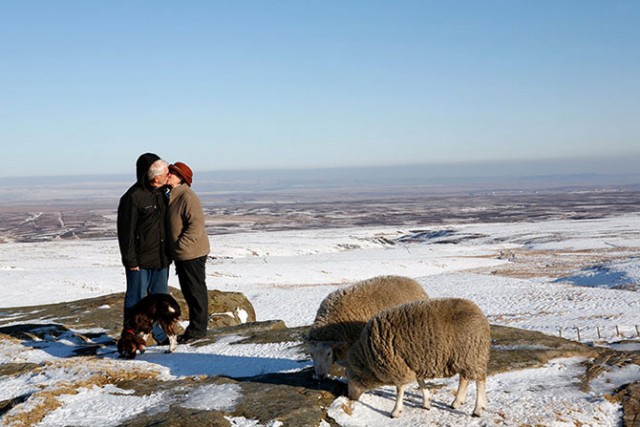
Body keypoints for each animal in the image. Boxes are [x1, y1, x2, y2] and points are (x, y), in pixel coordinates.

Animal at [344, 300, 490, 420]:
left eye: (352, 377)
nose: (349, 397)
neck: (368, 356)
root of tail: (481, 316)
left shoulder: (399, 366)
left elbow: (400, 389)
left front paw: (396, 411)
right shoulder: (414, 364)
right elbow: (421, 383)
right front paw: (426, 403)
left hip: (472, 354)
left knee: (480, 380)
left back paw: (477, 409)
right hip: (463, 357)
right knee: (464, 378)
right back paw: (456, 402)